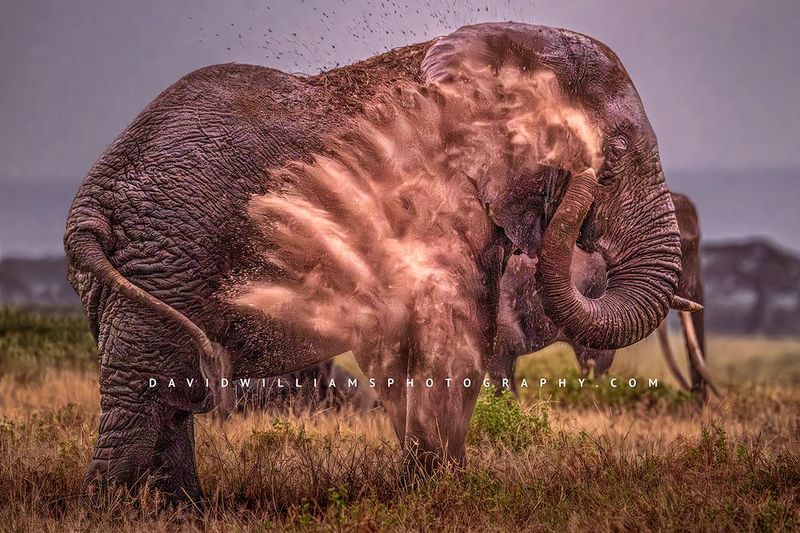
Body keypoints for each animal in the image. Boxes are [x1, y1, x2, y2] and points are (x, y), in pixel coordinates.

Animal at [64, 22, 693, 501]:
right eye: (613, 155)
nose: (578, 179)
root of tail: (89, 204)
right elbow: (453, 336)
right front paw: (448, 494)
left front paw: (424, 486)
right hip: (166, 252)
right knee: (149, 391)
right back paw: (114, 510)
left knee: (169, 393)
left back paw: (182, 510)